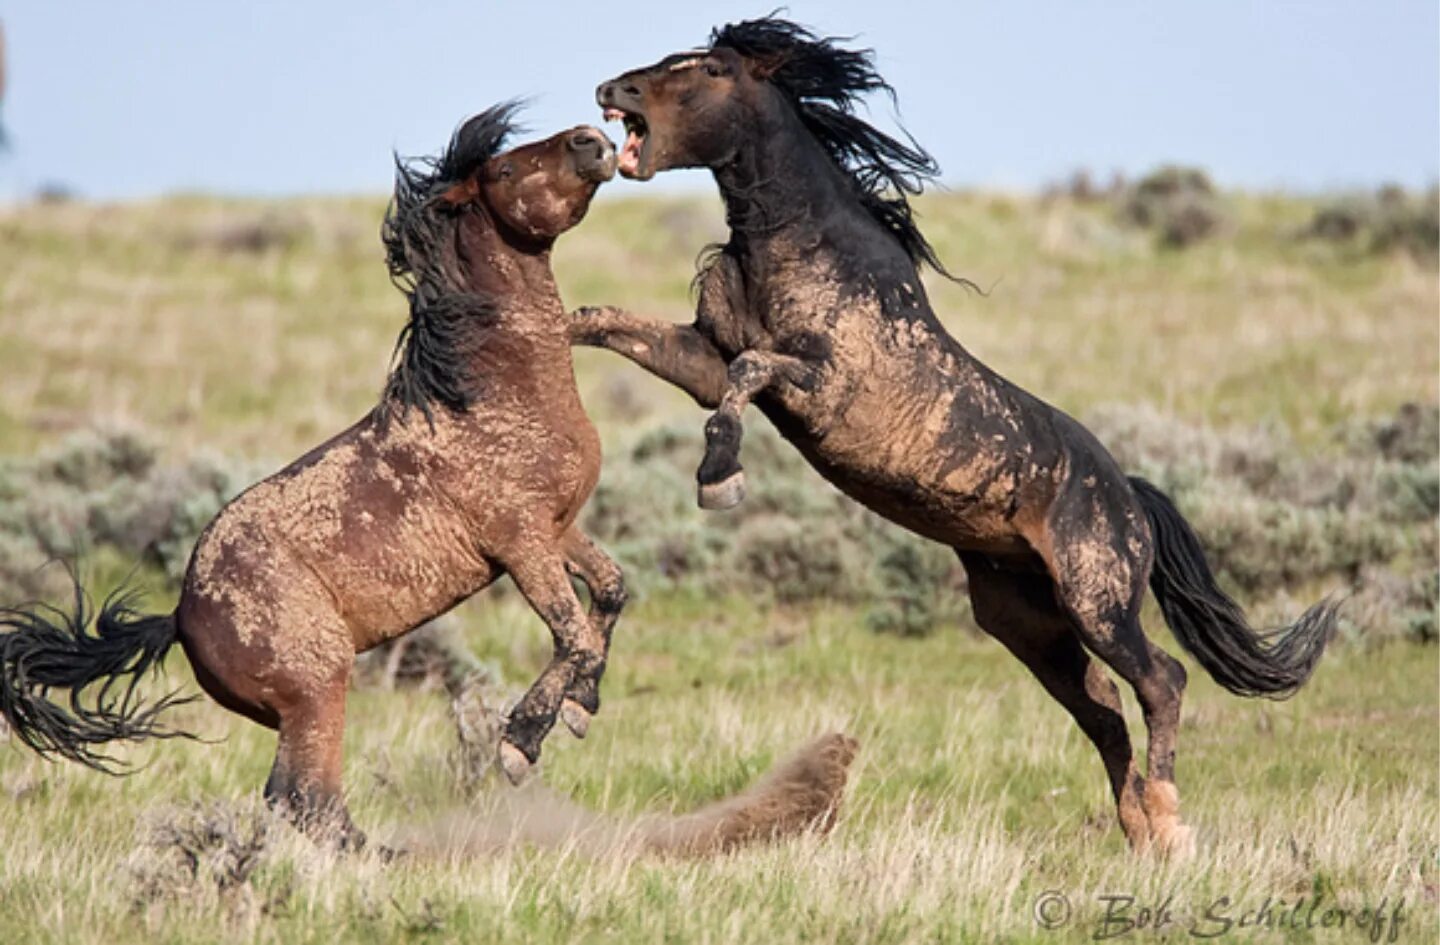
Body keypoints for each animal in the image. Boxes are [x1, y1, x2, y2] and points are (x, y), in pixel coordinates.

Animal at [1, 105, 630, 847]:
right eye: (504, 169)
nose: (593, 141)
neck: (489, 397)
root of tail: (180, 616)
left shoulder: (556, 529)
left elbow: (610, 593)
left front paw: (579, 710)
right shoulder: (521, 542)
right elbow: (574, 637)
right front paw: (520, 743)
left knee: (297, 798)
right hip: (320, 683)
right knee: (309, 797)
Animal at [573, 16, 1336, 858]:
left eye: (708, 69)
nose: (612, 89)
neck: (795, 246)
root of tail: (1131, 498)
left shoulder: (821, 383)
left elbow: (747, 372)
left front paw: (720, 477)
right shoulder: (701, 356)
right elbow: (609, 324)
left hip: (1097, 602)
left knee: (1160, 680)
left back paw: (1168, 821)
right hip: (1027, 621)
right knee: (1103, 709)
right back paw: (1137, 828)